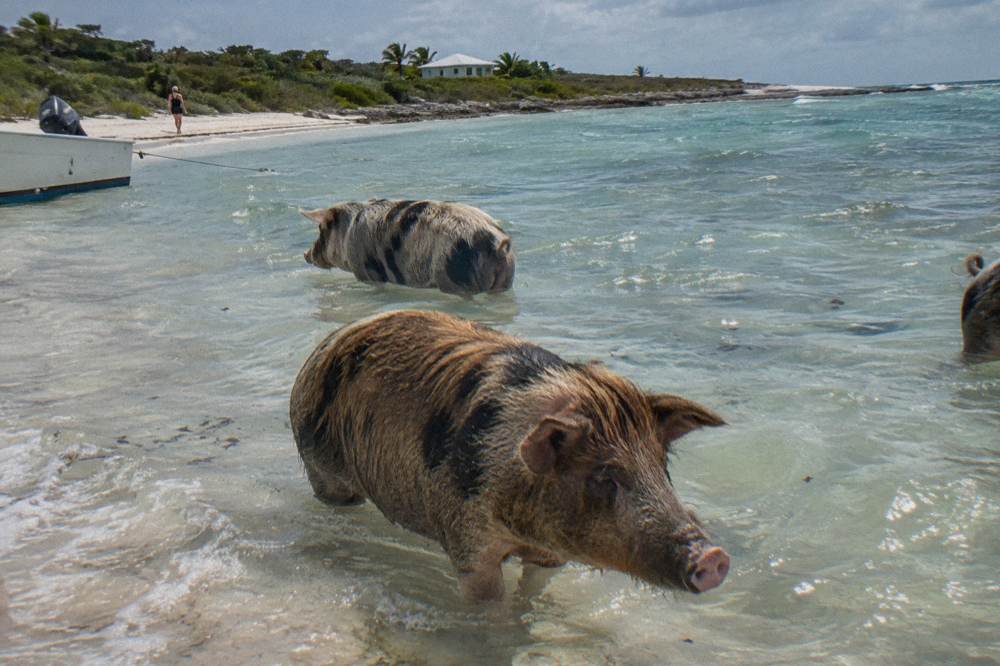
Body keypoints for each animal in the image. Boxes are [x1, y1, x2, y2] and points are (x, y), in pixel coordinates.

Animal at [289, 309, 730, 603]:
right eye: (604, 476)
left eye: (661, 466)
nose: (712, 557)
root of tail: (326, 343)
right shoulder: (468, 542)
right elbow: (489, 602)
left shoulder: (550, 554)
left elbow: (534, 587)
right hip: (320, 467)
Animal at [300, 199, 515, 296]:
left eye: (320, 229)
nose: (305, 253)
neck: (347, 233)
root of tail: (497, 243)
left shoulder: (364, 270)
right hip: (505, 280)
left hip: (454, 277)